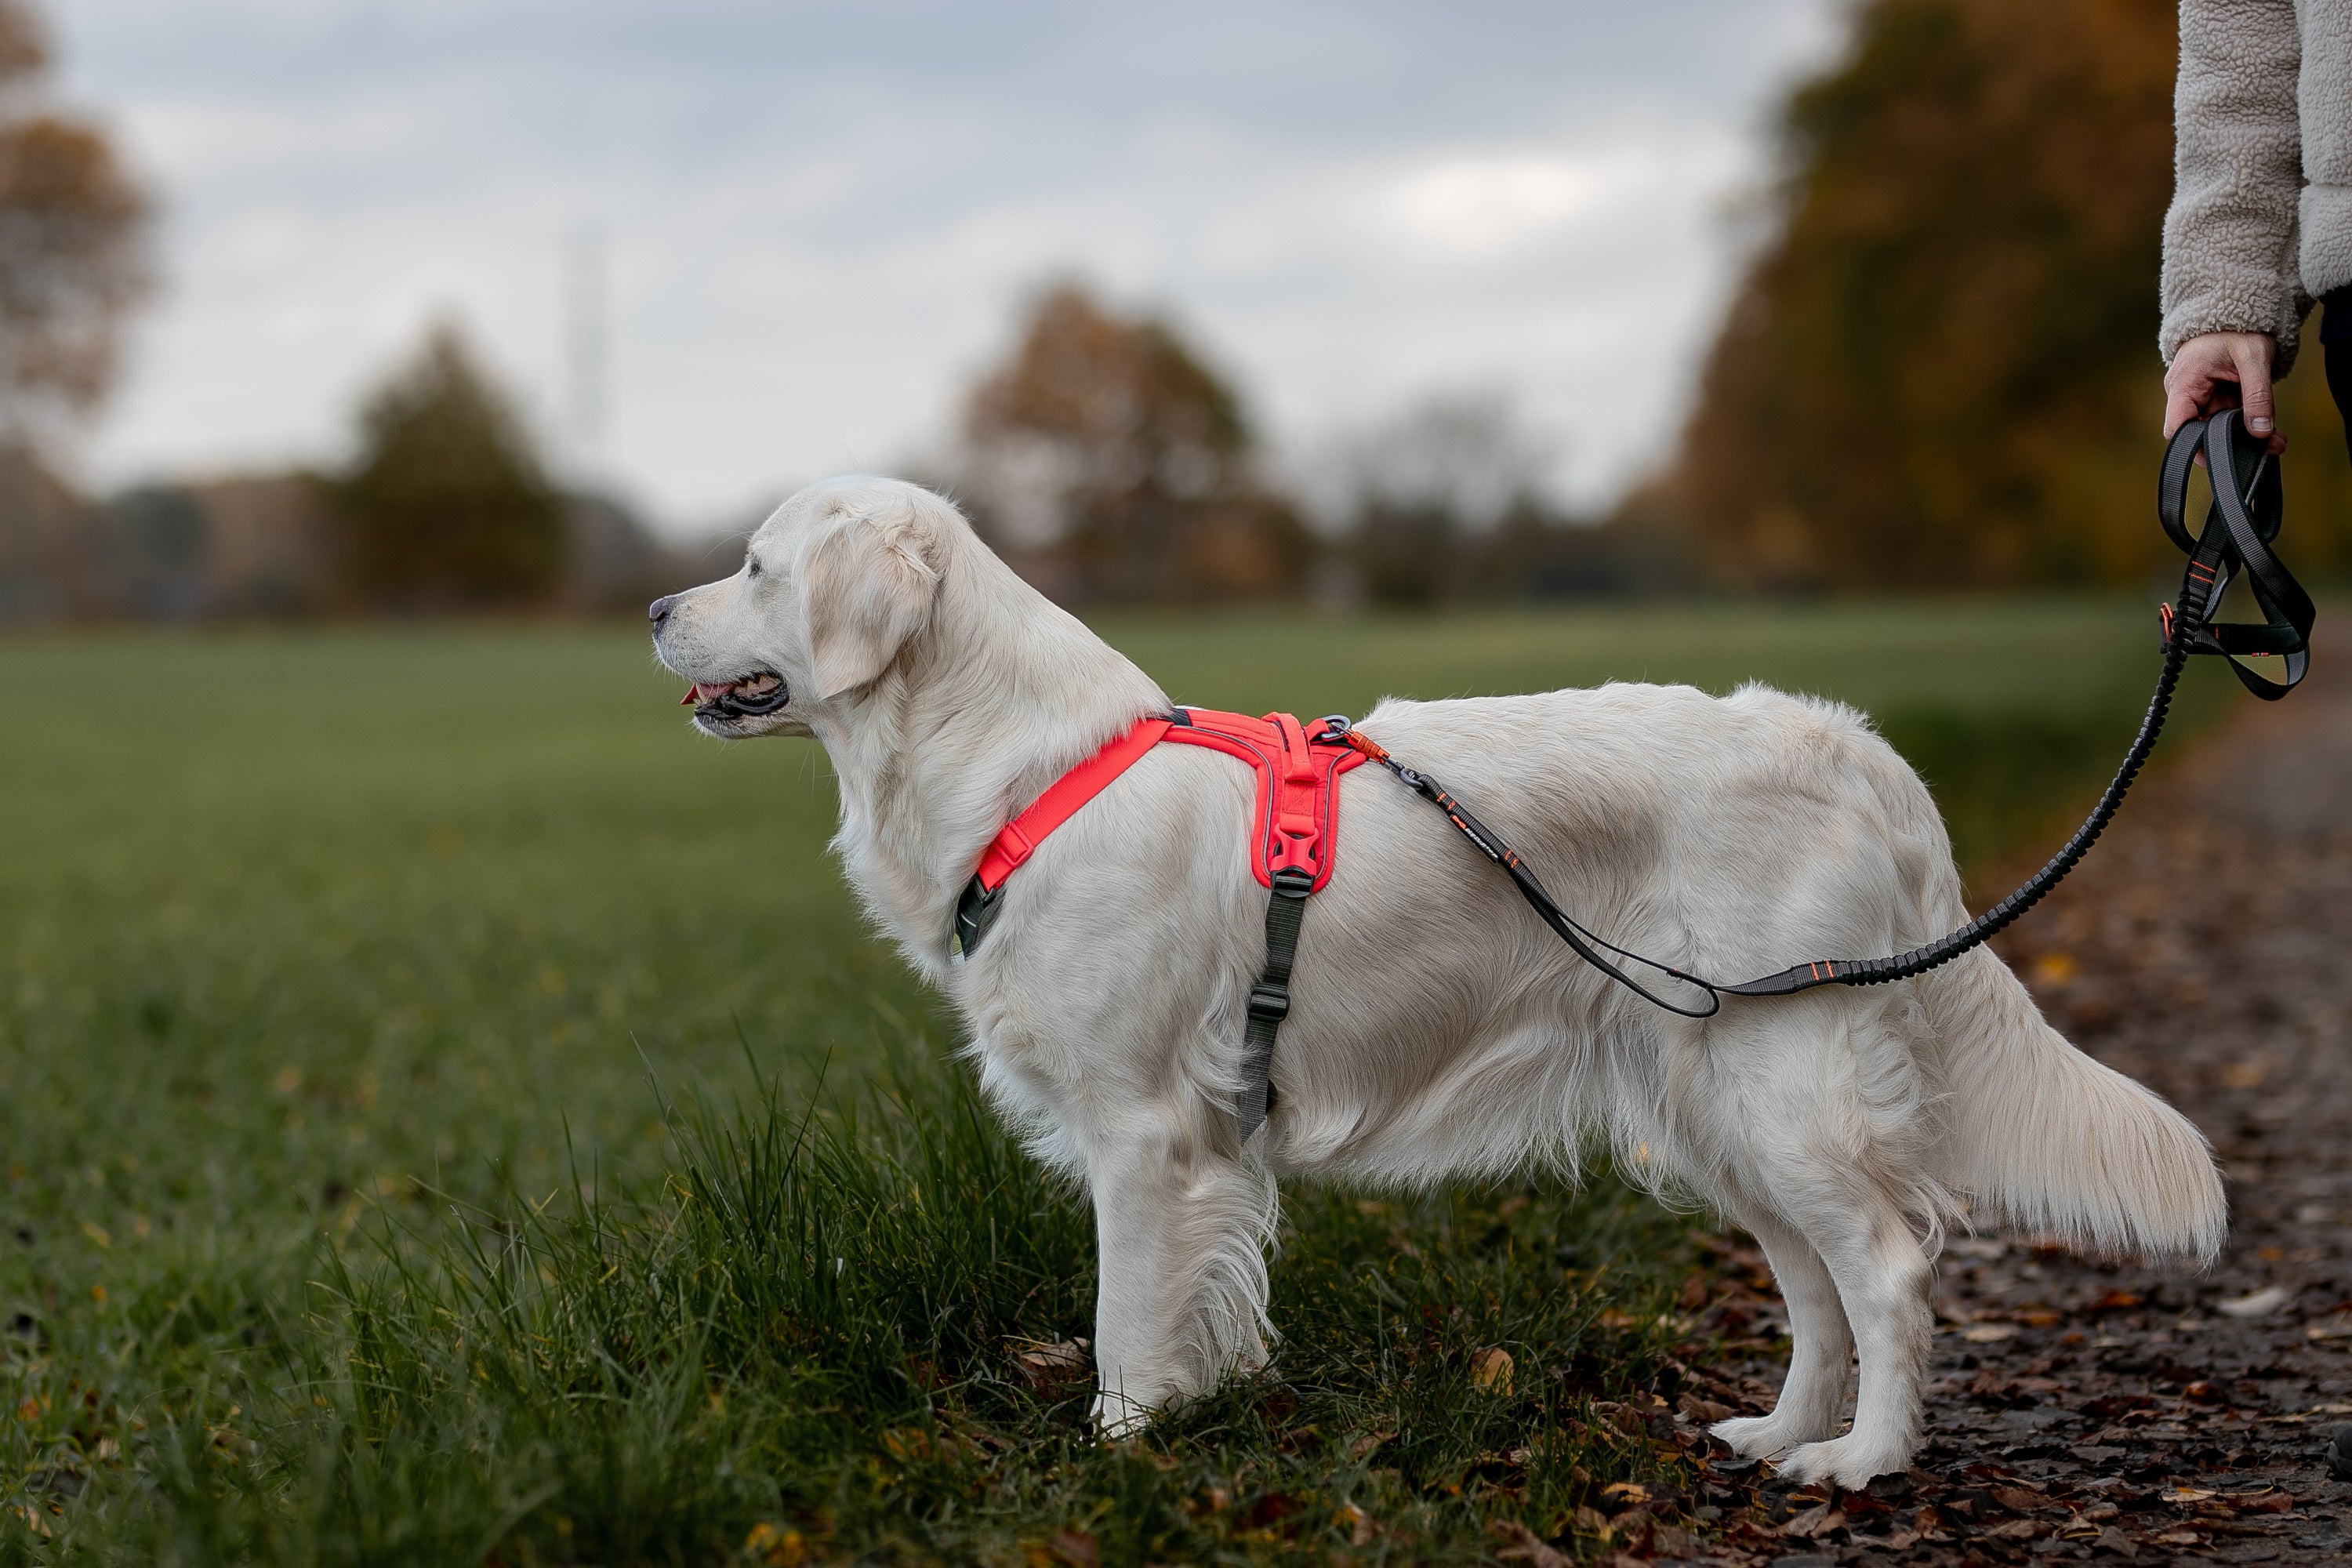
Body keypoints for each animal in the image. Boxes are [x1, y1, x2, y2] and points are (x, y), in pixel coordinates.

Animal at [649, 474, 2220, 1486]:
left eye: (757, 566)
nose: (659, 605)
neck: (1031, 771)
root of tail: (1863, 751)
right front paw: (1207, 1406)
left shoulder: (1144, 1134)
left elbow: (1123, 1322)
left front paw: (1121, 1449)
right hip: (1714, 1097)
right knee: (1814, 1284)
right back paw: (1781, 1436)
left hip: (1784, 1081)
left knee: (1885, 1267)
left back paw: (1866, 1463)